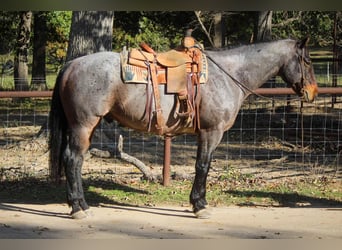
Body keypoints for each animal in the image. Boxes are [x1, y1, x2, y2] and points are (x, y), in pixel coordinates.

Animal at [48, 37, 318, 219]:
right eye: (307, 60)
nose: (312, 92)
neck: (228, 75)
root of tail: (71, 65)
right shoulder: (211, 132)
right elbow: (203, 166)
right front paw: (200, 205)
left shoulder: (206, 134)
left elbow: (202, 165)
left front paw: (197, 203)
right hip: (83, 125)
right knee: (72, 159)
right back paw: (77, 208)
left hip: (87, 126)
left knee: (76, 160)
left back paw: (81, 205)